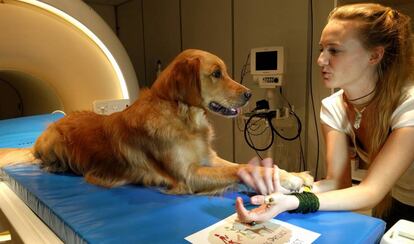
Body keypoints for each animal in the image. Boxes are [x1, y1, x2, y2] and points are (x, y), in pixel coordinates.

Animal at [0, 49, 310, 194]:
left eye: (226, 71)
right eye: (216, 73)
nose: (248, 94)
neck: (183, 117)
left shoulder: (208, 159)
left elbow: (242, 165)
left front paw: (291, 176)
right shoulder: (188, 175)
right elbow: (242, 169)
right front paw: (283, 180)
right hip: (54, 143)